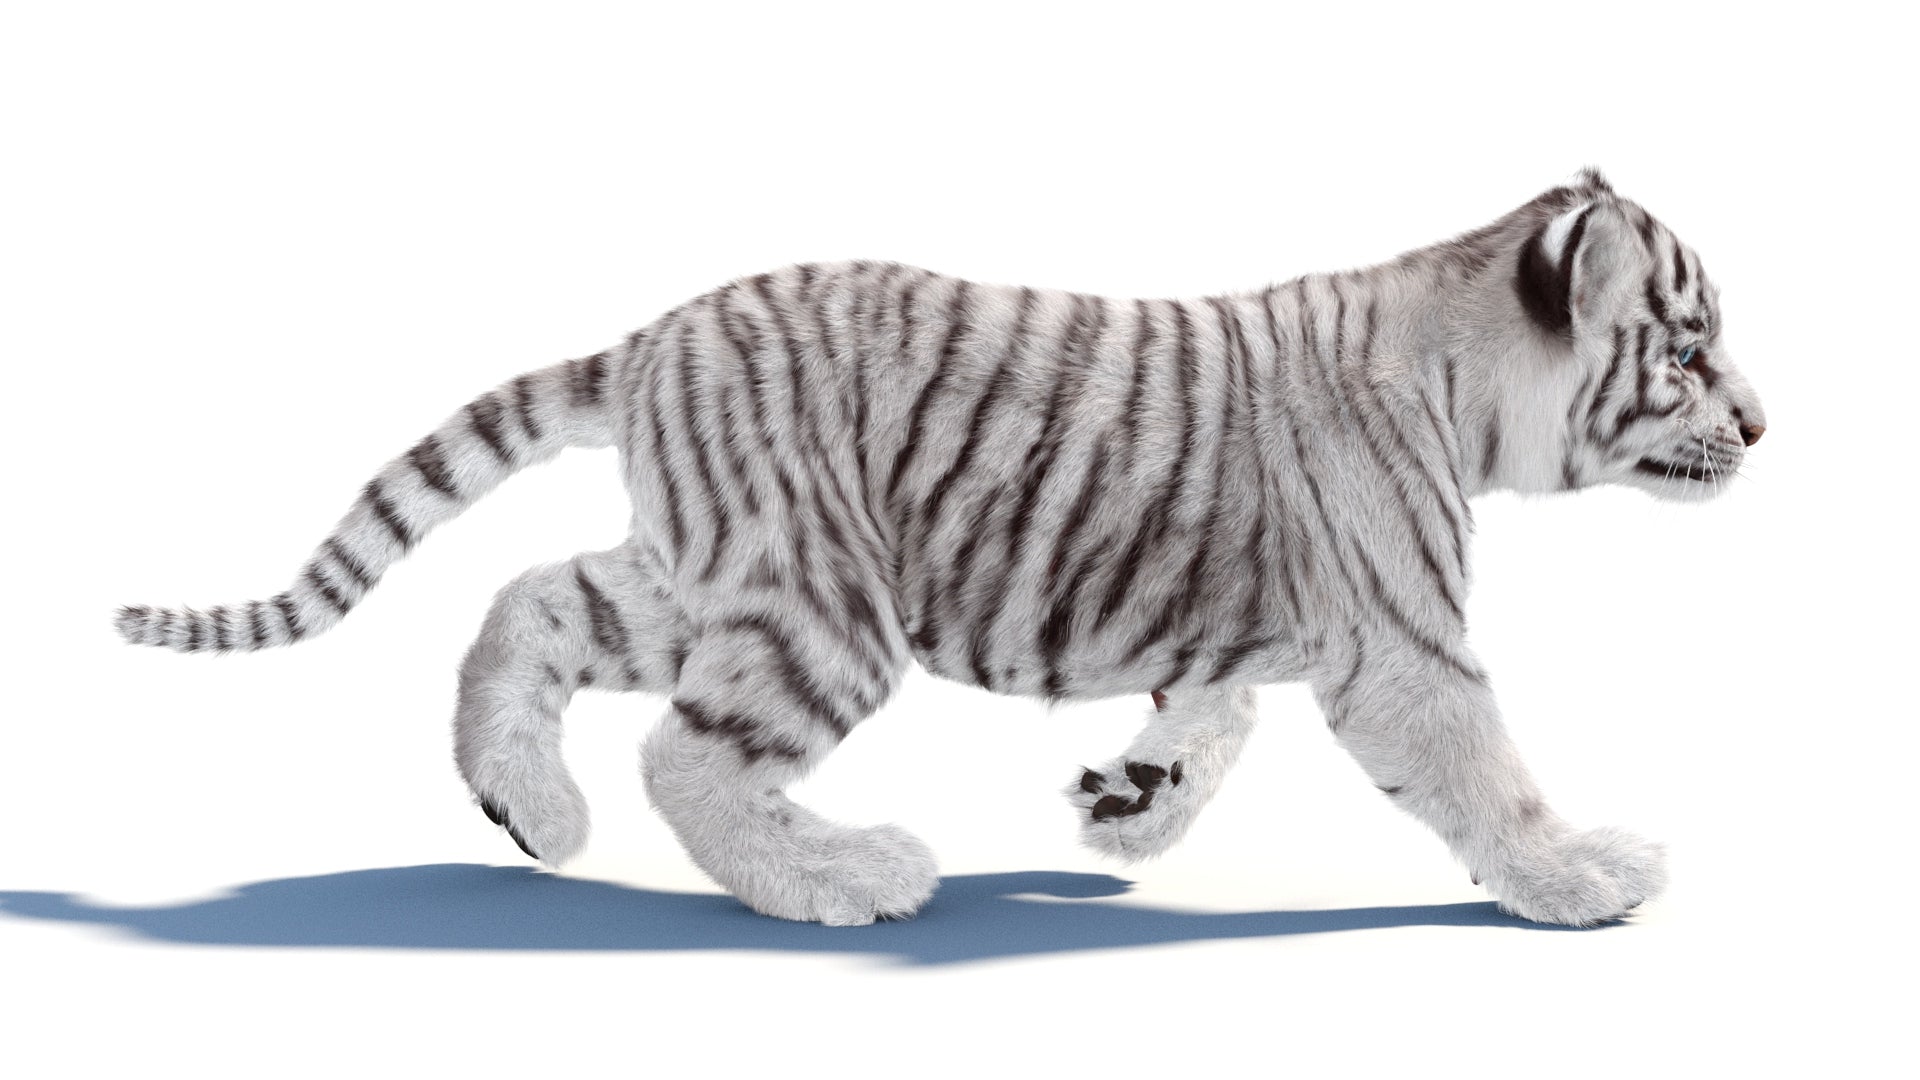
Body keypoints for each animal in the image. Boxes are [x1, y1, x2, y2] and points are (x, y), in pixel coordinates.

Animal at [117, 168, 1764, 928]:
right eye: (1686, 351)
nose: (1764, 423)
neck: (1467, 376)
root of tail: (652, 338)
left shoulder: (1248, 616)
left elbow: (1216, 714)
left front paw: (1132, 805)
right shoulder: (1406, 641)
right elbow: (1490, 771)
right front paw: (1588, 873)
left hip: (707, 574)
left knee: (530, 602)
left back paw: (531, 810)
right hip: (821, 605)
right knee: (688, 754)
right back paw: (842, 874)